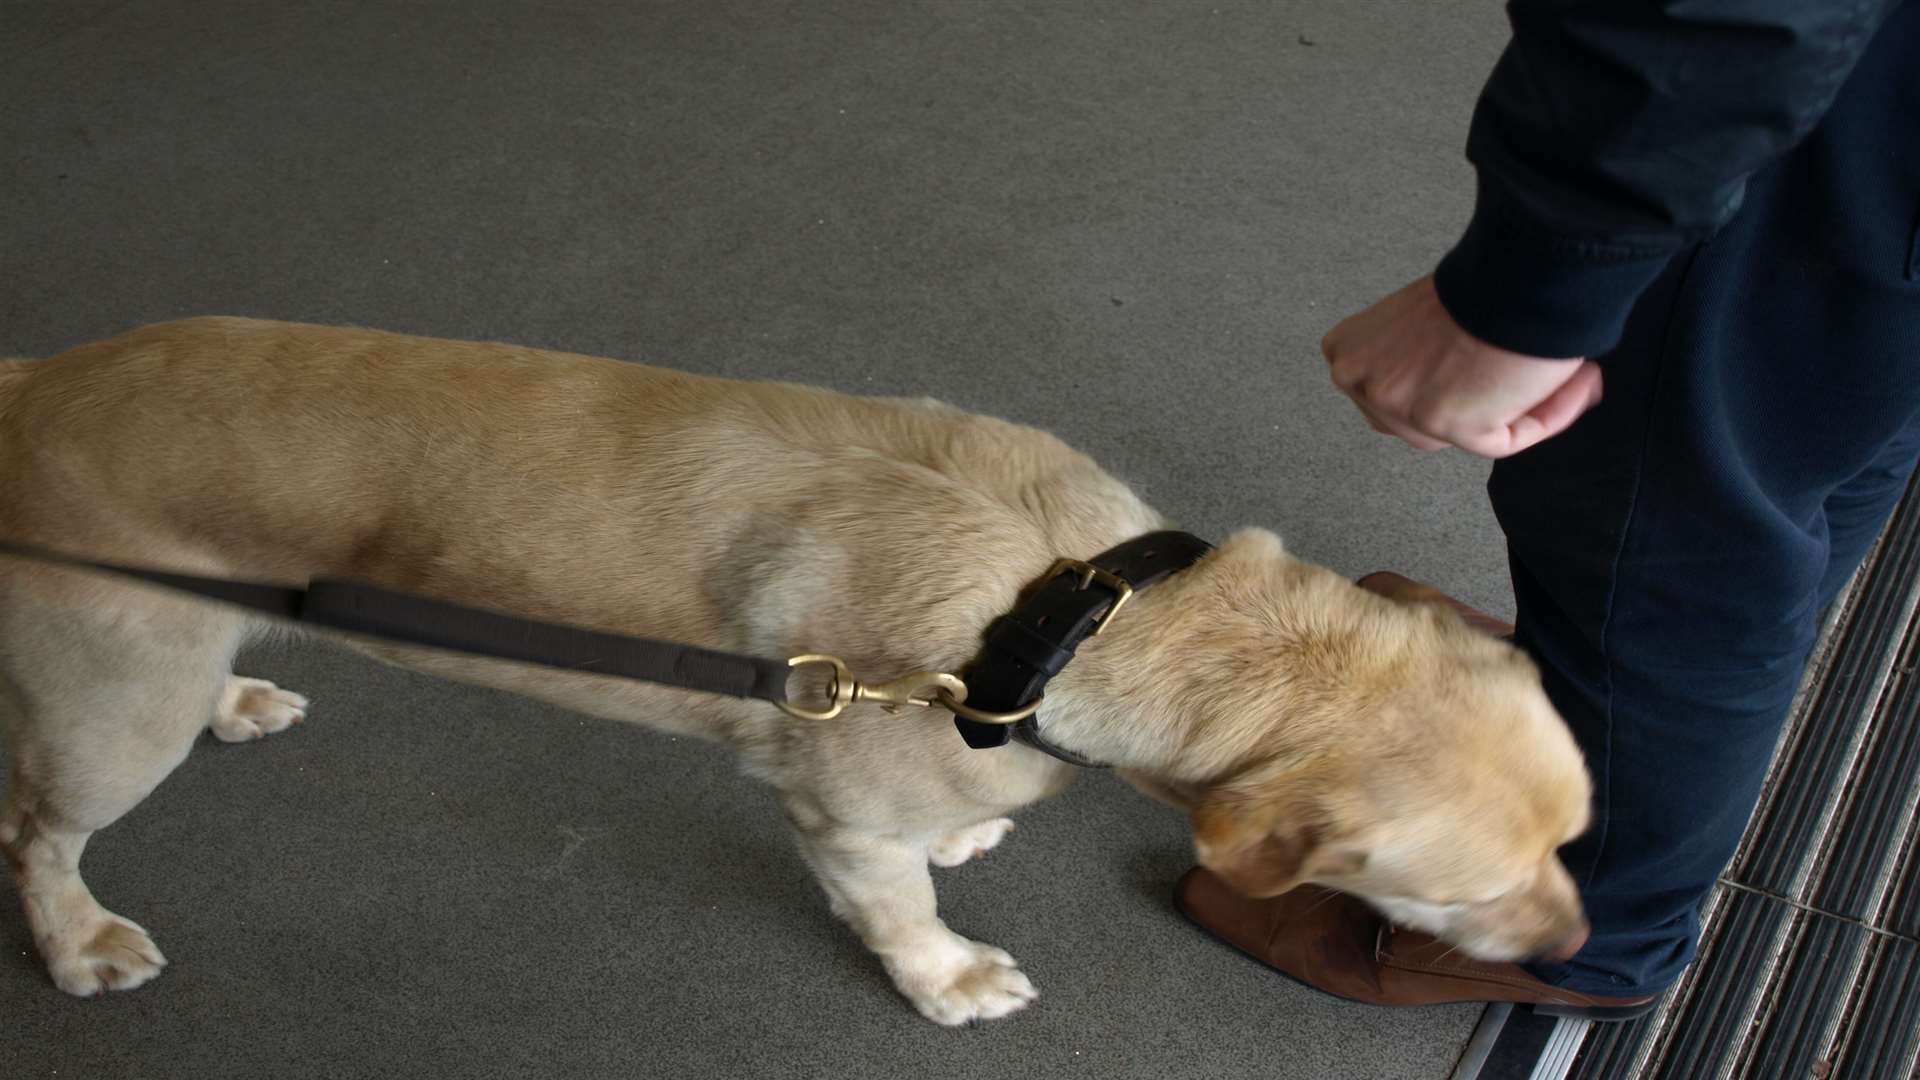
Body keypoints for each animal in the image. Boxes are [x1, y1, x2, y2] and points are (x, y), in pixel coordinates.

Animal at [0, 317, 1589, 1014]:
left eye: (1577, 838)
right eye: (1458, 895)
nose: (1580, 957)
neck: (1082, 606)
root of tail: (33, 379)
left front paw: (966, 830)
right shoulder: (840, 822)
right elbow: (897, 910)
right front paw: (945, 973)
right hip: (109, 713)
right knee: (34, 832)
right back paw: (74, 939)